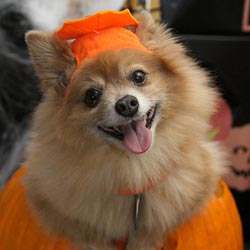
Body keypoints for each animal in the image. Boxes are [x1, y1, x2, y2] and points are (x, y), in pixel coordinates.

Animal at [24, 10, 226, 250]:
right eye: (92, 96)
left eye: (138, 77)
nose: (127, 104)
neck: (134, 168)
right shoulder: (46, 200)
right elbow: (88, 234)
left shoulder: (200, 186)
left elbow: (156, 225)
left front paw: (142, 241)